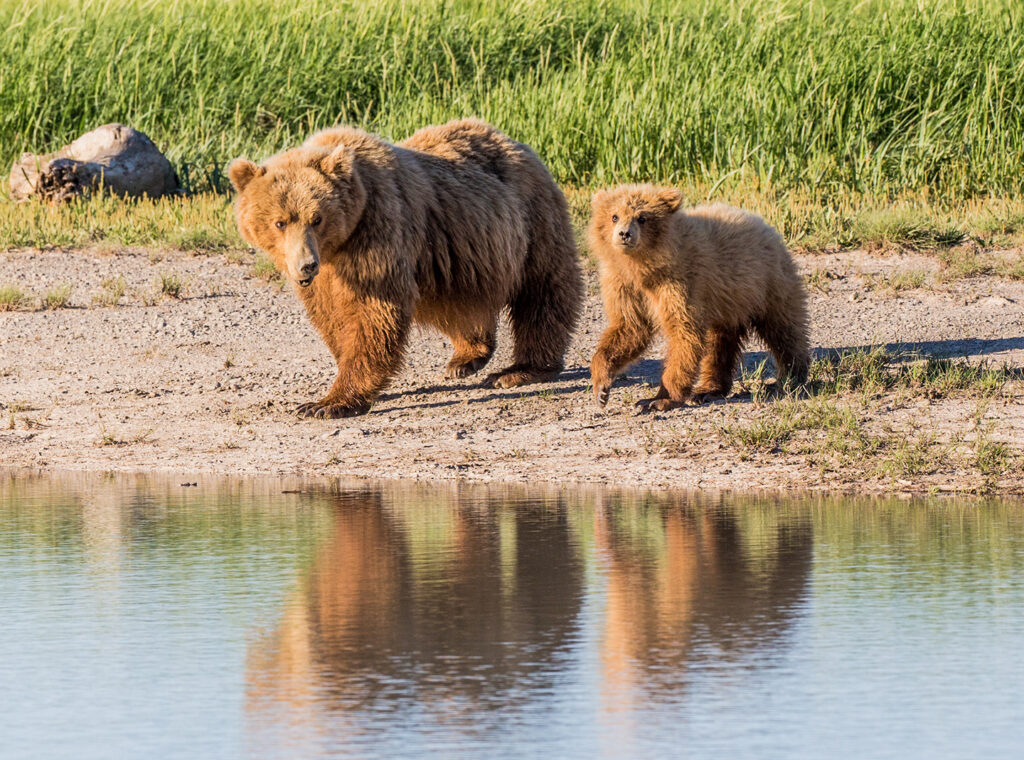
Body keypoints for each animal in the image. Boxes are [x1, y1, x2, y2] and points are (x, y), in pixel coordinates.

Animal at [228, 119, 582, 418]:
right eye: (279, 222)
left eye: (317, 218)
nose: (305, 265)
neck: (336, 247)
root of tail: (518, 143)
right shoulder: (328, 274)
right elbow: (331, 317)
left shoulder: (376, 232)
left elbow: (373, 313)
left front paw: (327, 404)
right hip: (465, 255)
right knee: (464, 301)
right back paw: (466, 358)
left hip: (530, 222)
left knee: (542, 292)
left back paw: (521, 369)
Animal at [588, 184, 810, 412]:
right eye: (614, 216)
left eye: (642, 217)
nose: (625, 233)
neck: (643, 268)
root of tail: (766, 226)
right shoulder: (625, 286)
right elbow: (629, 327)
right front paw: (601, 389)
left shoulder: (679, 283)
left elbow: (684, 333)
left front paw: (659, 399)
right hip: (727, 302)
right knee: (720, 344)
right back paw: (708, 389)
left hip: (767, 284)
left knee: (783, 328)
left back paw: (789, 378)